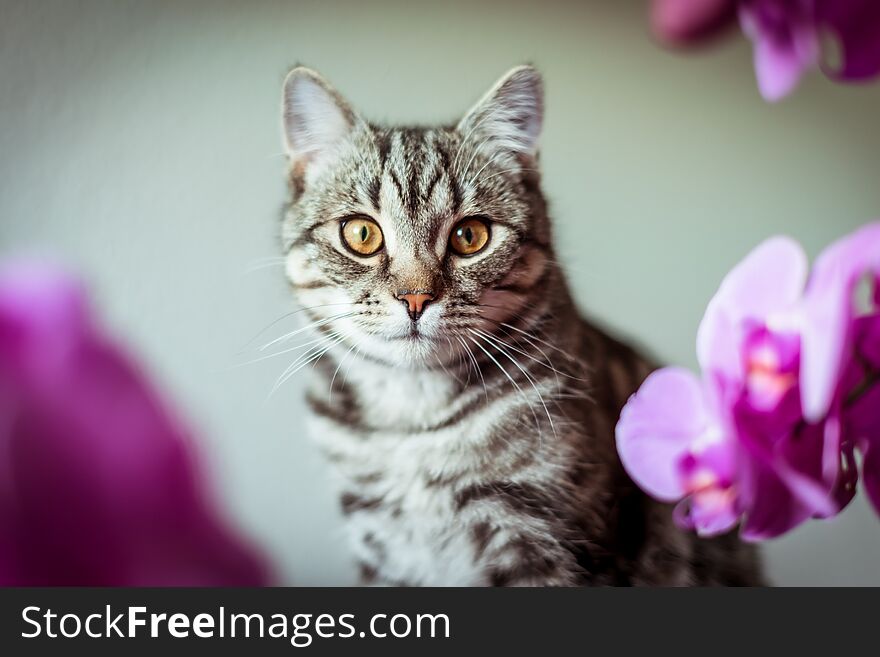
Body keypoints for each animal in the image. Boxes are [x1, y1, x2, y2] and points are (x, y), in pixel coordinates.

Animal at [276, 62, 764, 584]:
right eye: (362, 233)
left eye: (470, 236)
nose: (415, 296)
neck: (412, 421)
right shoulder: (380, 544)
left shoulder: (537, 535)